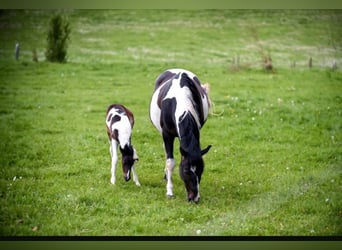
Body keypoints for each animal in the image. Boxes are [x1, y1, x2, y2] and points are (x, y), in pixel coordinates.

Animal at [150, 69, 211, 203]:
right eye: (186, 170)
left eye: (201, 169)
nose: (195, 198)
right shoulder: (167, 135)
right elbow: (170, 162)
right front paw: (169, 191)